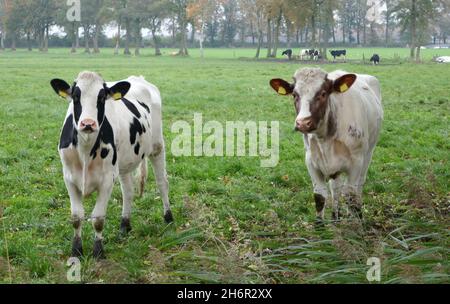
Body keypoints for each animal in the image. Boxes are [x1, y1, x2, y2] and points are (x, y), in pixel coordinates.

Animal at [50, 71, 173, 258]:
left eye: (101, 98)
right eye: (76, 96)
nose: (87, 123)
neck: (86, 150)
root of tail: (138, 78)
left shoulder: (107, 179)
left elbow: (98, 219)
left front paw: (98, 251)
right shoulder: (69, 178)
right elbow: (76, 217)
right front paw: (76, 250)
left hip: (157, 147)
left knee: (162, 183)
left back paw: (168, 217)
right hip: (124, 163)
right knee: (128, 191)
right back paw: (124, 225)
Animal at [270, 67, 384, 222]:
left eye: (323, 93)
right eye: (294, 94)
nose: (302, 123)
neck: (325, 138)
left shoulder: (356, 162)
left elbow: (351, 195)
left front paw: (356, 222)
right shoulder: (311, 161)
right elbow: (320, 196)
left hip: (368, 153)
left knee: (358, 186)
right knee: (336, 188)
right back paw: (336, 215)